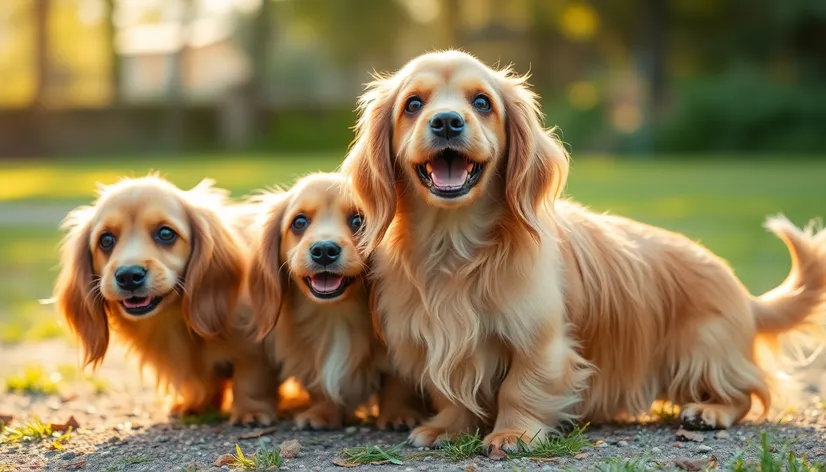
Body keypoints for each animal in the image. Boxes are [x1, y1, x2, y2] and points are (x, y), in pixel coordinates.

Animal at [55, 174, 280, 424]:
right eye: (106, 240)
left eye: (165, 233)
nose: (128, 276)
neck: (176, 317)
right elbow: (204, 383)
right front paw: (196, 404)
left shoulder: (255, 353)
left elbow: (250, 381)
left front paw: (251, 412)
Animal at [245, 173, 424, 432]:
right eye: (299, 222)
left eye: (358, 220)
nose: (323, 250)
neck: (336, 315)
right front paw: (323, 413)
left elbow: (399, 384)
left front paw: (398, 414)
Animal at [340, 50, 824, 454]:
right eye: (412, 105)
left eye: (481, 103)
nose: (446, 122)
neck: (454, 249)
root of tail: (744, 296)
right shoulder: (440, 341)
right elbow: (452, 392)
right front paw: (448, 427)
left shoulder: (539, 341)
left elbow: (521, 386)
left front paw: (513, 433)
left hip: (704, 351)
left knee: (748, 392)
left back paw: (709, 411)